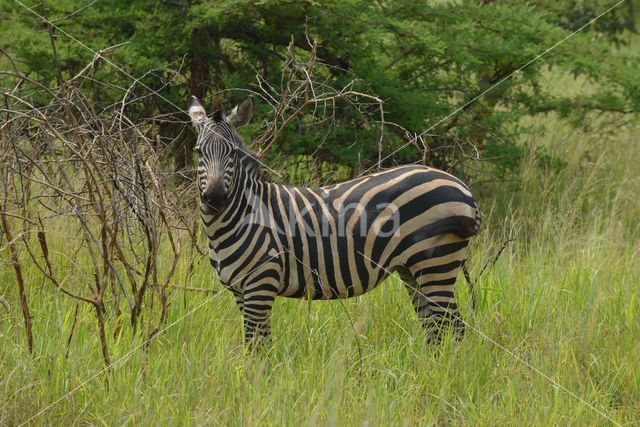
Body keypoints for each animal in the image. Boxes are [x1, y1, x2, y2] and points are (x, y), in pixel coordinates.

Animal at [188, 95, 482, 346]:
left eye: (232, 153)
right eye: (198, 151)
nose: (214, 198)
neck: (239, 216)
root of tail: (460, 186)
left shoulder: (261, 283)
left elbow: (257, 344)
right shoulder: (240, 291)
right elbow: (257, 343)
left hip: (435, 263)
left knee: (453, 327)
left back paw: (446, 373)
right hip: (413, 270)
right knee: (434, 329)